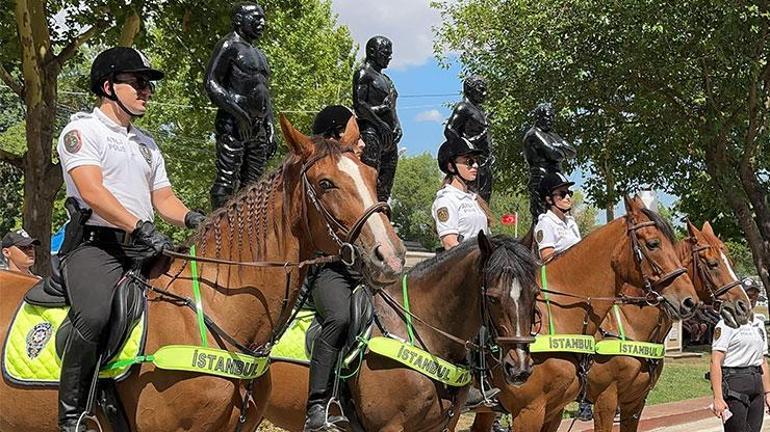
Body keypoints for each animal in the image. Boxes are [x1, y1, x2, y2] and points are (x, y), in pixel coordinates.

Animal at [584, 221, 748, 430]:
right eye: (713, 264)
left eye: (732, 263)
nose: (743, 306)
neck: (630, 324)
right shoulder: (605, 401)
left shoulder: (635, 402)